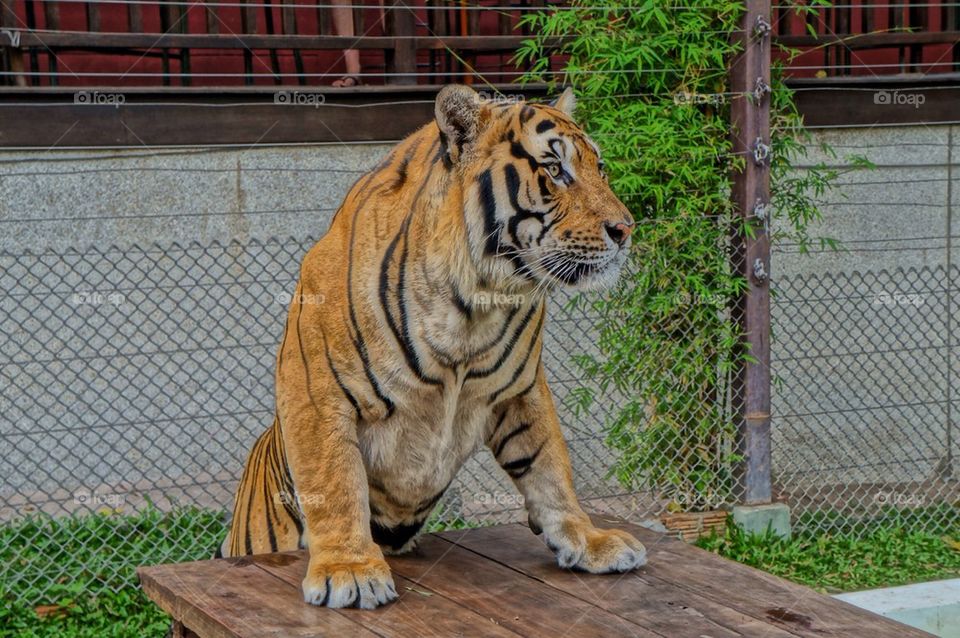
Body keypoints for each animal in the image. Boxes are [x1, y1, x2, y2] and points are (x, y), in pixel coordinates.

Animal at [219, 84, 644, 608]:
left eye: (599, 168)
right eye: (555, 170)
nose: (625, 230)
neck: (479, 301)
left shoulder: (521, 389)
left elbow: (551, 467)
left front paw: (589, 540)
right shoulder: (316, 388)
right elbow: (334, 480)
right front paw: (348, 569)